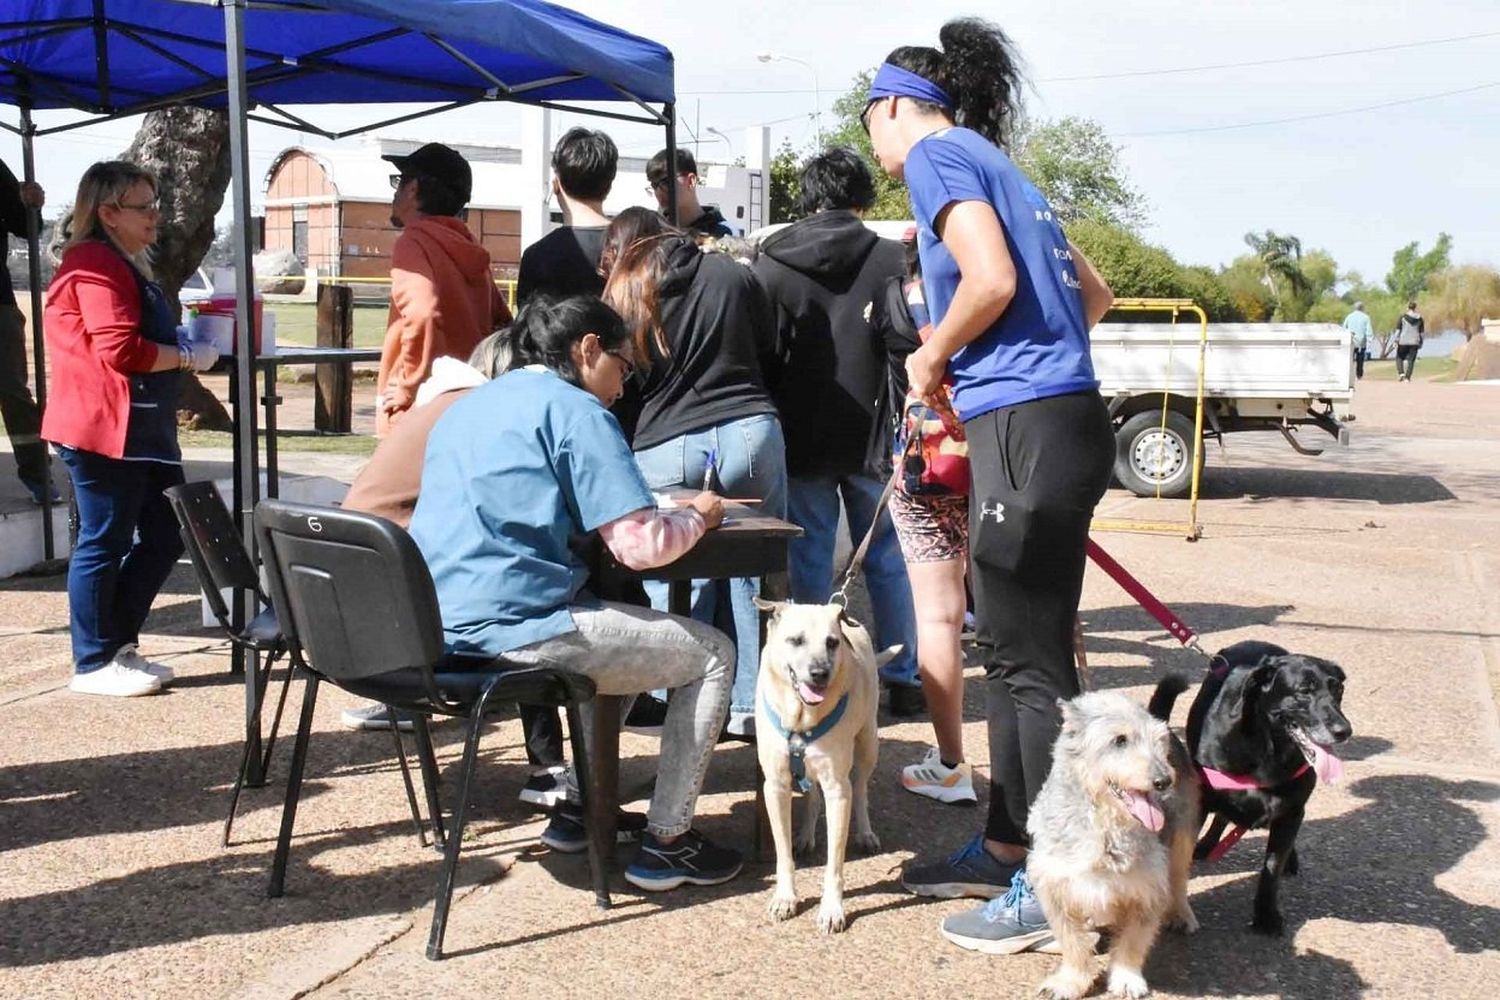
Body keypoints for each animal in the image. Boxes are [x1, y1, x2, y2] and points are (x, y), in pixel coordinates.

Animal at [750, 602, 900, 941]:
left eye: (832, 642)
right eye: (795, 640)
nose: (820, 673)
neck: (801, 717)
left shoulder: (838, 790)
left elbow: (834, 862)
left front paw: (832, 910)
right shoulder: (775, 786)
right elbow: (783, 854)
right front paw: (785, 898)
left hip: (868, 744)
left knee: (861, 789)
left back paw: (865, 833)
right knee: (812, 795)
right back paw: (805, 835)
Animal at [1026, 692, 1200, 995]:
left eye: (1159, 741)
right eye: (1119, 740)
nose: (1164, 780)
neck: (1104, 827)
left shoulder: (1148, 889)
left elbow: (1132, 942)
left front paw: (1126, 978)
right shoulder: (1055, 887)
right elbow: (1072, 942)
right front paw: (1070, 981)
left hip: (1181, 840)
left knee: (1178, 880)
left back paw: (1180, 913)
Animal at [1152, 644, 1356, 935]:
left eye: (1338, 689)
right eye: (1304, 690)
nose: (1344, 731)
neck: (1268, 750)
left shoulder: (1291, 812)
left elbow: (1272, 868)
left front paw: (1266, 915)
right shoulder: (1199, 801)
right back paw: (1207, 844)